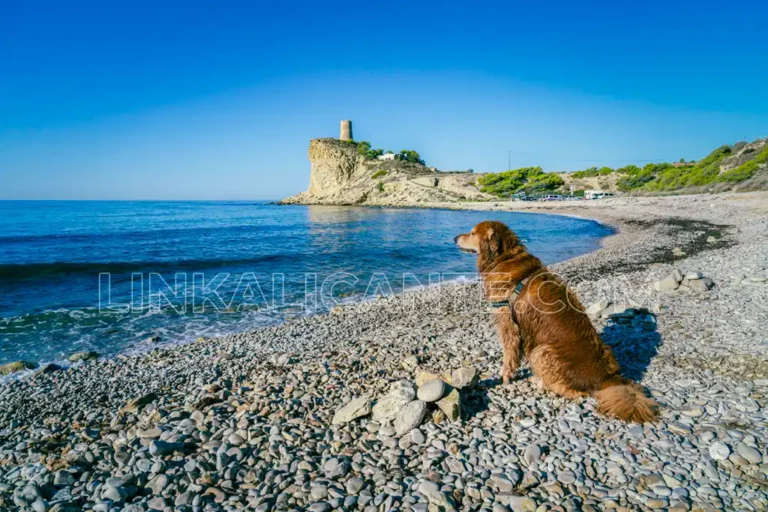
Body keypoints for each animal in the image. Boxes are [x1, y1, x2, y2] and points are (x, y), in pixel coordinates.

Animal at [456, 221, 660, 424]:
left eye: (472, 233)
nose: (454, 237)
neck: (504, 258)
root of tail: (607, 378)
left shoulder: (508, 324)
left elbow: (508, 358)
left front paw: (504, 378)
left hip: (542, 351)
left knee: (575, 393)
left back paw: (540, 382)